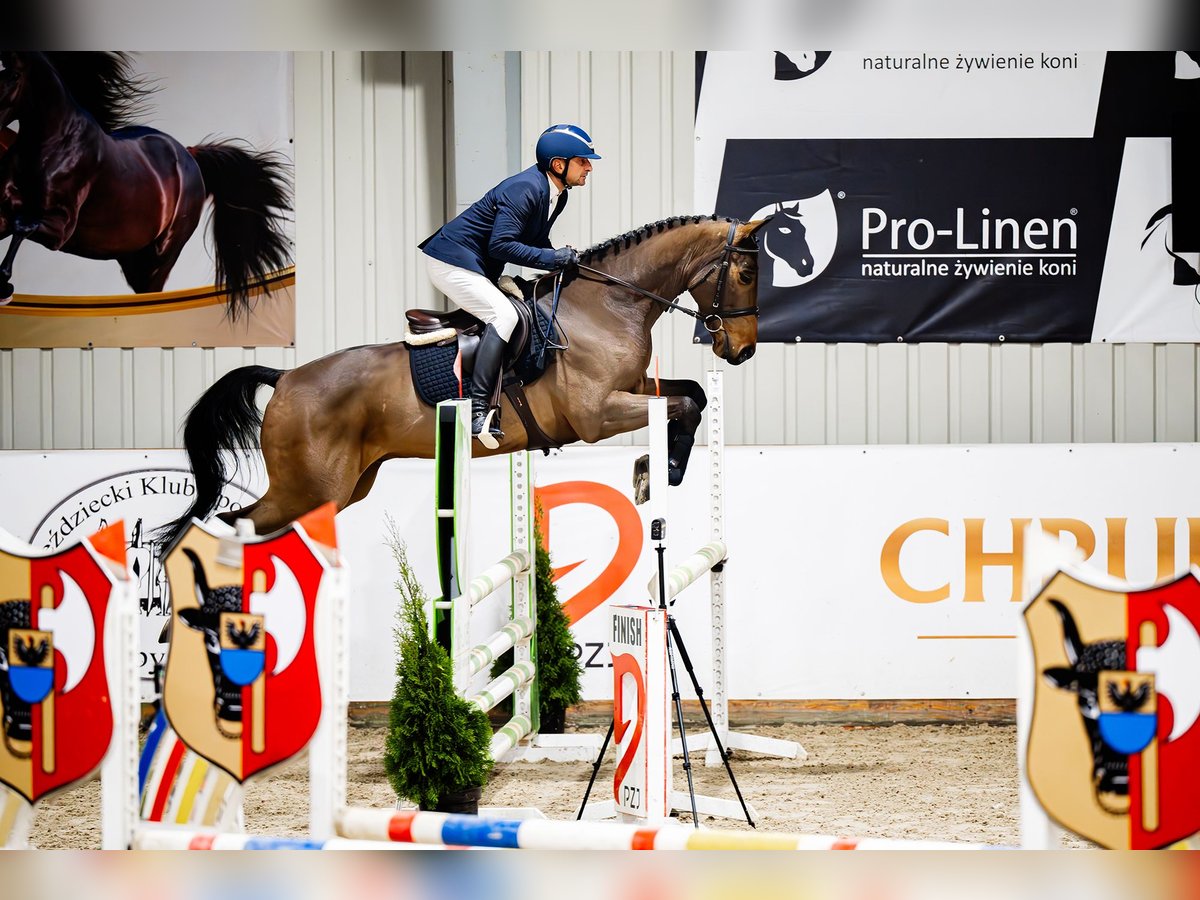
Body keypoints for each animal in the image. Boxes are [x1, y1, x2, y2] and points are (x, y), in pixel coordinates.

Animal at [0, 51, 290, 316]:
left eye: (13, 74)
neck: (54, 143)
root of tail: (189, 155)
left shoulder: (61, 227)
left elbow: (21, 225)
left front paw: (5, 285)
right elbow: (10, 220)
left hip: (160, 257)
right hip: (133, 259)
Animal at [160, 215, 769, 545]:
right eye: (744, 272)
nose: (741, 350)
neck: (608, 305)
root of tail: (284, 378)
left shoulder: (633, 388)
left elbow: (691, 397)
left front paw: (664, 466)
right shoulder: (596, 416)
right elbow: (681, 406)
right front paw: (658, 469)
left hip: (341, 489)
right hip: (306, 491)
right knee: (225, 526)